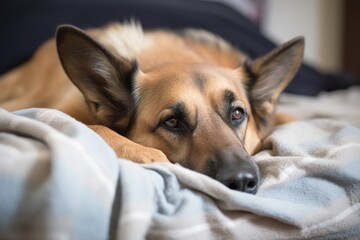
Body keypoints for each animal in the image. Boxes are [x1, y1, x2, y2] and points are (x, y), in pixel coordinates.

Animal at [0, 21, 304, 194]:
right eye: (172, 122)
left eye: (237, 114)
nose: (241, 181)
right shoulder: (46, 110)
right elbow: (91, 125)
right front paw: (152, 157)